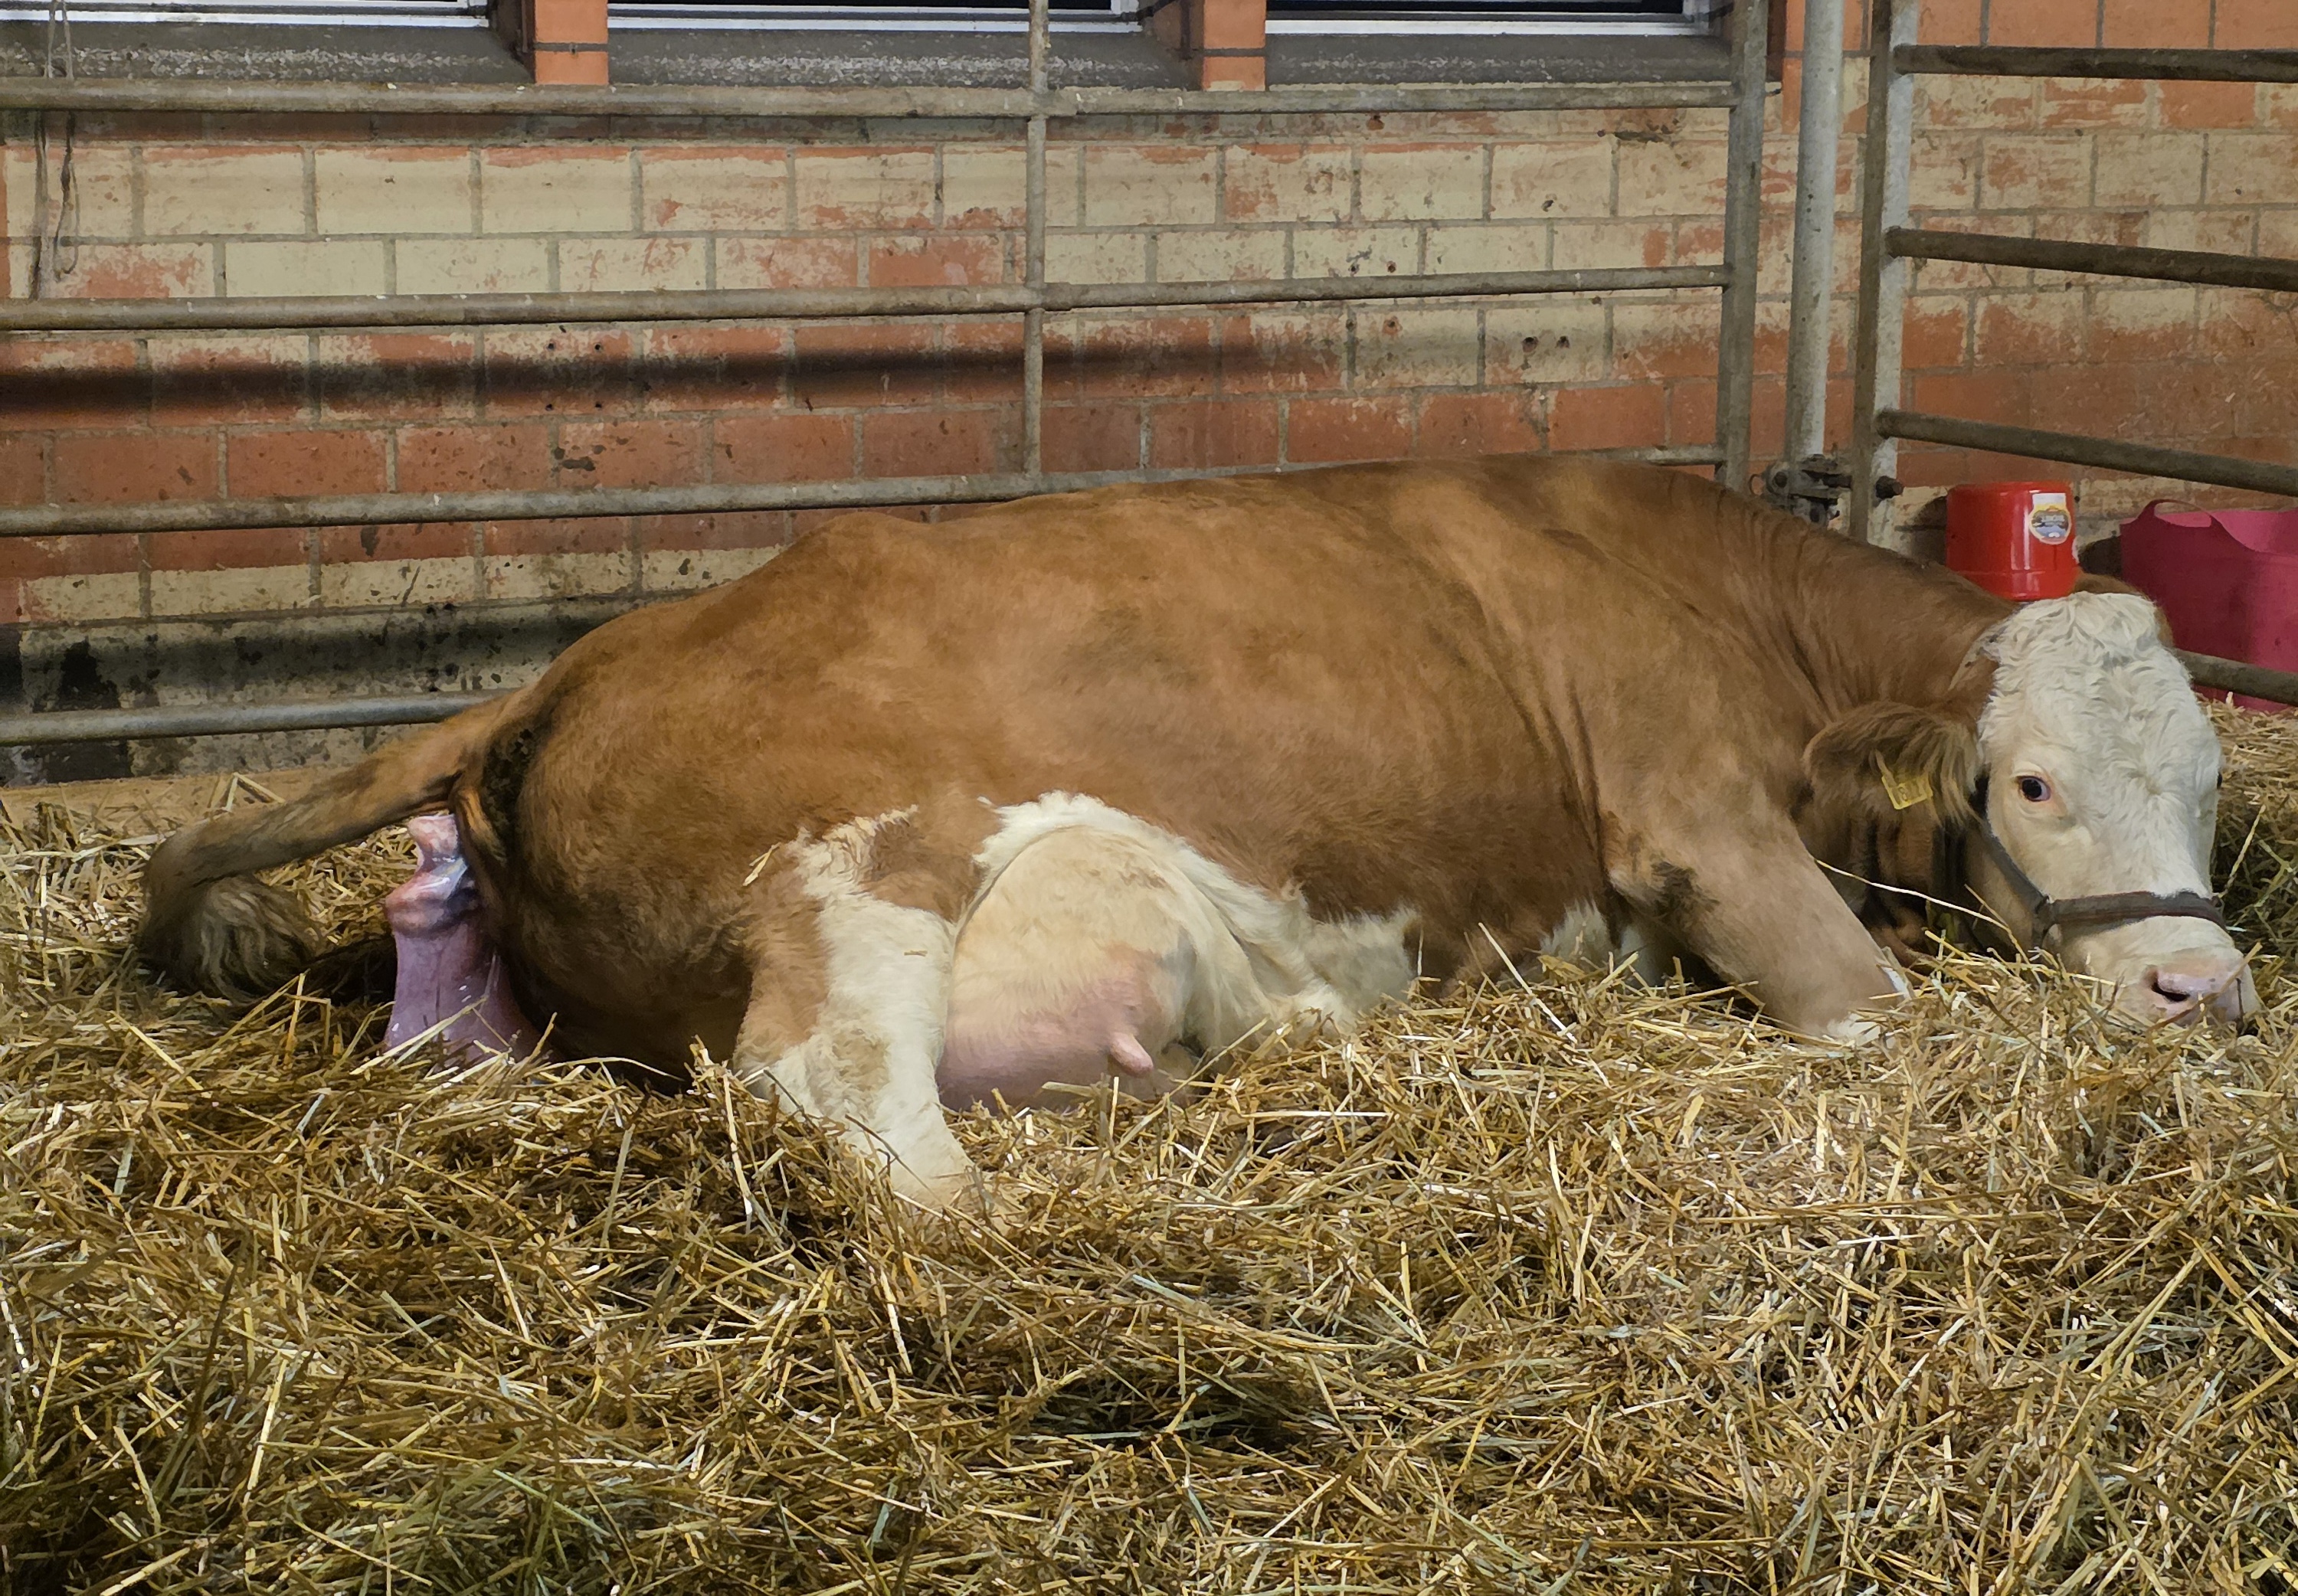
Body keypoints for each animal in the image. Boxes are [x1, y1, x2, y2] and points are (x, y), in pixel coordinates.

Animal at [136, 456, 2253, 1209]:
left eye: (2214, 784)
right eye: (2028, 781)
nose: (2202, 988)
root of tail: (577, 662)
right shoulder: (1698, 826)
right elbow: (1873, 1019)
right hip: (858, 862)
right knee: (832, 1090)